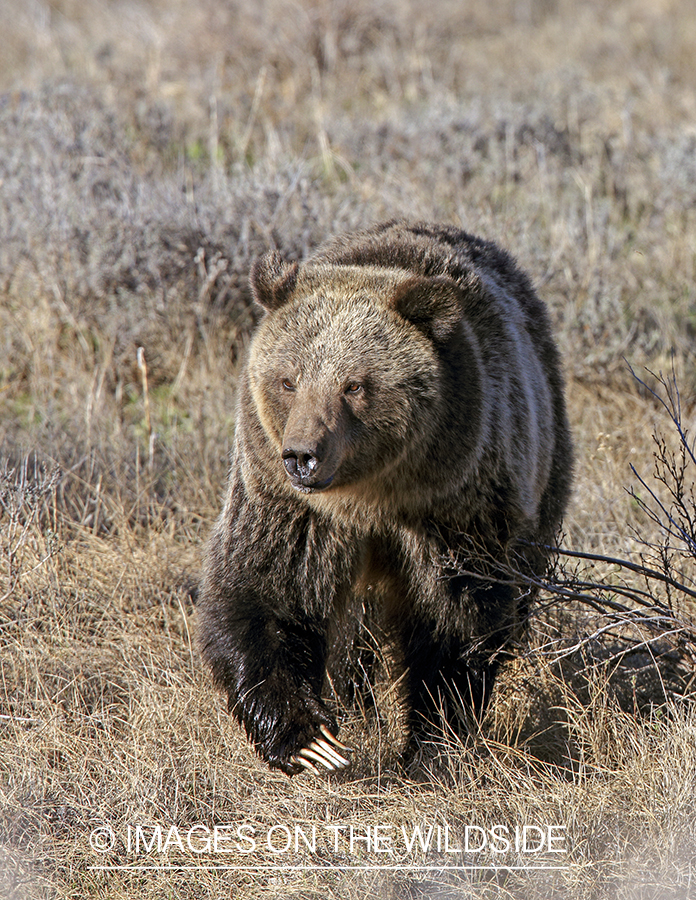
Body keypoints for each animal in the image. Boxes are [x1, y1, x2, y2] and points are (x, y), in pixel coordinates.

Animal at [197, 223, 572, 772]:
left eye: (354, 385)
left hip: (544, 470)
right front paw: (312, 741)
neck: (371, 497)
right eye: (288, 380)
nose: (302, 456)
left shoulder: (454, 506)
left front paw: (434, 736)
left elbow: (455, 618)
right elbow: (265, 592)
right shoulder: (290, 507)